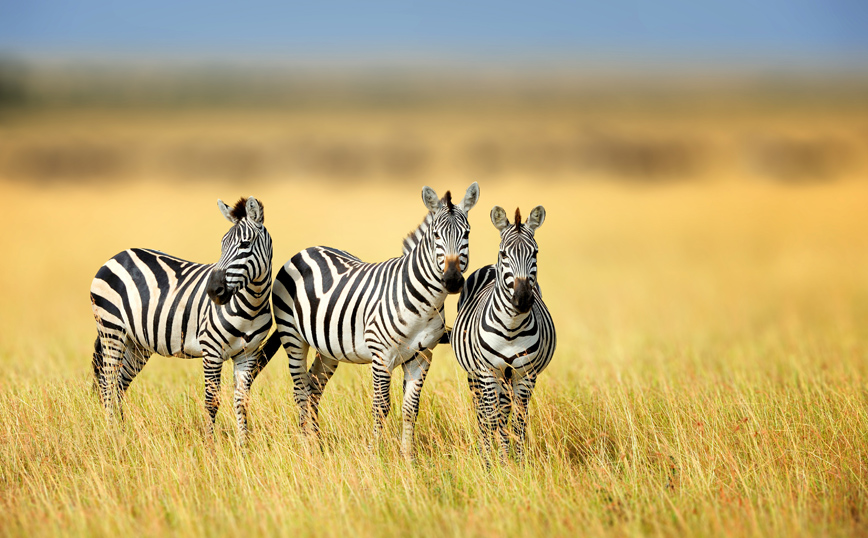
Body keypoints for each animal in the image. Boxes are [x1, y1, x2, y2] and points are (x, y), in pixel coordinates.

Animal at [89, 197, 272, 444]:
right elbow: (211, 402)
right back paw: (111, 436)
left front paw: (243, 447)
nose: (213, 291)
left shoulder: (248, 354)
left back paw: (122, 433)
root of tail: (118, 256)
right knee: (107, 384)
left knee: (118, 385)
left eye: (245, 244)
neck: (251, 305)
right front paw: (210, 446)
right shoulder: (211, 350)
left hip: (136, 344)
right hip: (112, 331)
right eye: (222, 244)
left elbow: (242, 402)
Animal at [268, 182, 478, 454]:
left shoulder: (421, 358)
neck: (425, 303)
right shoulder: (381, 356)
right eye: (436, 236)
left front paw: (407, 457)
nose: (452, 280)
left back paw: (318, 443)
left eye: (467, 234)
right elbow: (381, 407)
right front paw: (375, 455)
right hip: (292, 336)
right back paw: (307, 447)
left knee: (314, 387)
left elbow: (411, 409)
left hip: (328, 347)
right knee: (301, 391)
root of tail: (307, 249)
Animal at [448, 204, 556, 460]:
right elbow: (492, 419)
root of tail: (490, 265)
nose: (523, 299)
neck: (511, 327)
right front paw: (497, 462)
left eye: (535, 253)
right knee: (483, 414)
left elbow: (517, 422)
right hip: (476, 375)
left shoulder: (526, 374)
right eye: (504, 253)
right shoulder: (488, 372)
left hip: (507, 377)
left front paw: (517, 461)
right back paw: (485, 454)